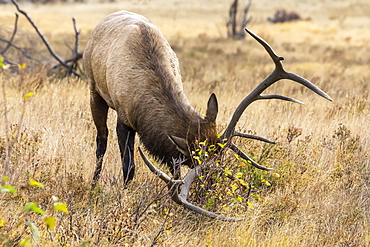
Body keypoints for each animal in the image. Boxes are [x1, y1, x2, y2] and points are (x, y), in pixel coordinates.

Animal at [84, 10, 332, 221]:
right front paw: (122, 198)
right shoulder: (124, 116)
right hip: (94, 89)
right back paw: (93, 184)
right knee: (101, 140)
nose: (210, 193)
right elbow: (129, 168)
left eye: (221, 163)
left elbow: (173, 170)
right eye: (201, 168)